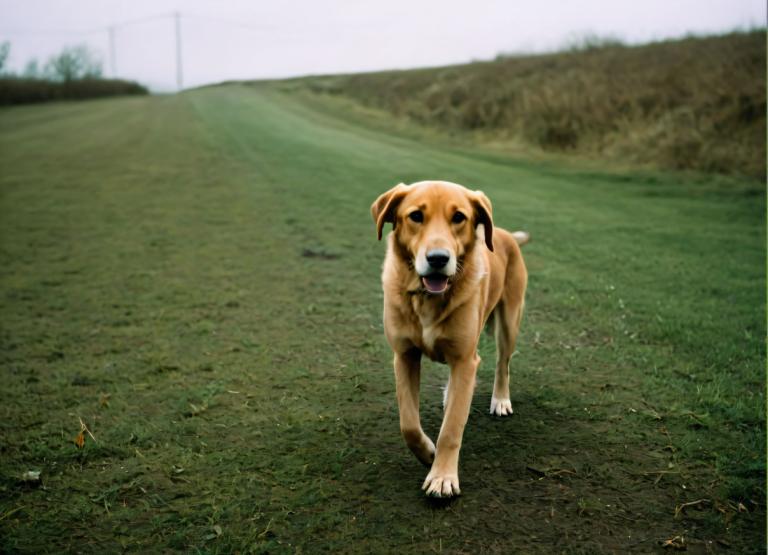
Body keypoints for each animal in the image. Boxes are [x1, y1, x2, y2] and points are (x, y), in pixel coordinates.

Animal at [370, 180, 528, 498]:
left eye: (459, 217)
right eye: (416, 216)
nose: (438, 259)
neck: (427, 298)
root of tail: (505, 234)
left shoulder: (465, 360)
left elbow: (452, 429)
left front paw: (442, 475)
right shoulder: (404, 355)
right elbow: (408, 423)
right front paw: (427, 453)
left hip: (509, 323)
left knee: (503, 364)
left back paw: (500, 399)